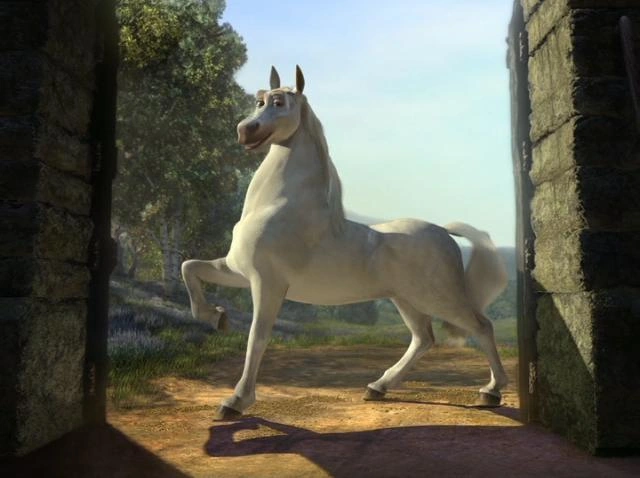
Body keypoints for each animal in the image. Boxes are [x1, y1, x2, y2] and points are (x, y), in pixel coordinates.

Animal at [181, 66, 509, 420]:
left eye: (280, 103)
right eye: (259, 101)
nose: (245, 130)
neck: (277, 207)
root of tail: (443, 232)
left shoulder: (266, 283)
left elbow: (257, 336)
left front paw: (235, 402)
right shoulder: (238, 272)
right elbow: (190, 267)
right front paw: (215, 317)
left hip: (440, 298)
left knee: (481, 326)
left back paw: (491, 392)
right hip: (406, 299)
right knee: (423, 338)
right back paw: (377, 388)